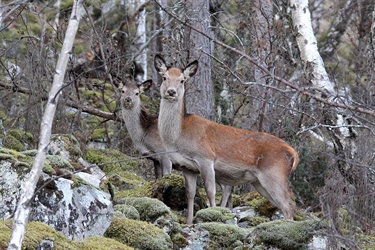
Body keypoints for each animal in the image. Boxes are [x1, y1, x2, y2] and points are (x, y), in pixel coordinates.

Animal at [153, 54, 300, 223]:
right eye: (164, 77)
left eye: (182, 80)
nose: (171, 92)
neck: (178, 137)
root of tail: (294, 154)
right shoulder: (187, 167)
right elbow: (190, 193)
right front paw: (189, 222)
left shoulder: (206, 158)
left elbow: (210, 191)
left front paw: (212, 215)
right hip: (259, 182)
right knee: (282, 204)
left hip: (275, 174)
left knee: (289, 205)